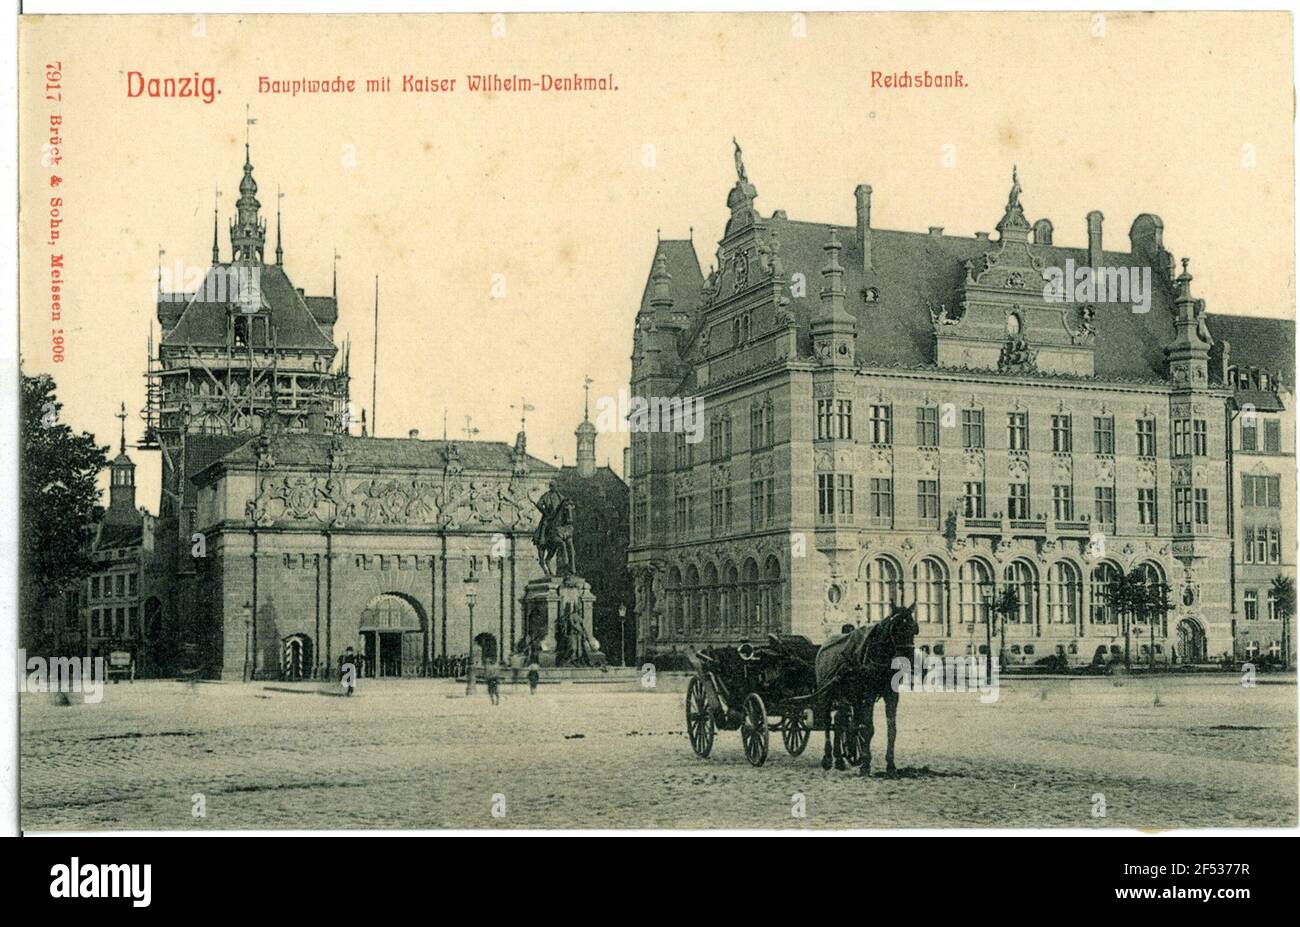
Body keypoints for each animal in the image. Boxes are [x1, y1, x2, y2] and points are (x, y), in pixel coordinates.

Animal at [816, 603, 920, 774]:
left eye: (914, 628)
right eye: (895, 628)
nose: (908, 660)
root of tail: (823, 646)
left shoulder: (891, 696)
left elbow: (891, 730)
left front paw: (890, 765)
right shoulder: (868, 696)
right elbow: (868, 728)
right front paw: (865, 764)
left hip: (847, 696)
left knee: (839, 721)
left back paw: (839, 760)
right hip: (826, 694)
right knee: (826, 722)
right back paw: (828, 758)